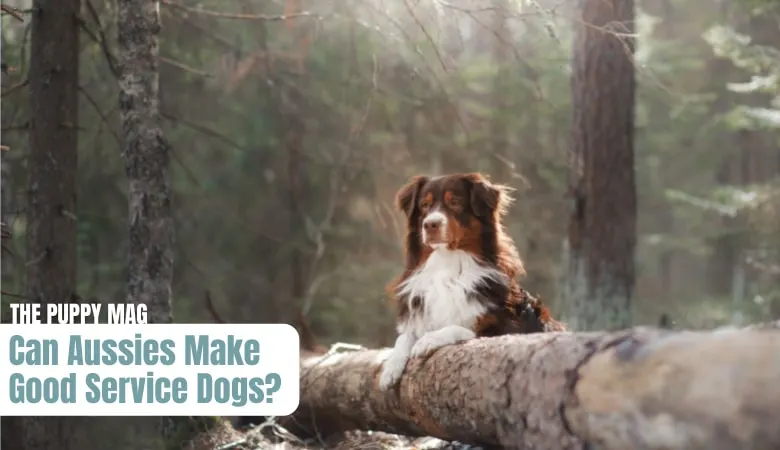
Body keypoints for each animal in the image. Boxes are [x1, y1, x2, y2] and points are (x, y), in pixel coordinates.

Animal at [380, 172, 568, 390]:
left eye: (454, 202)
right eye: (424, 205)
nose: (430, 224)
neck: (447, 263)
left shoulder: (507, 329)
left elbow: (460, 328)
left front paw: (428, 340)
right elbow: (403, 337)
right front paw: (390, 368)